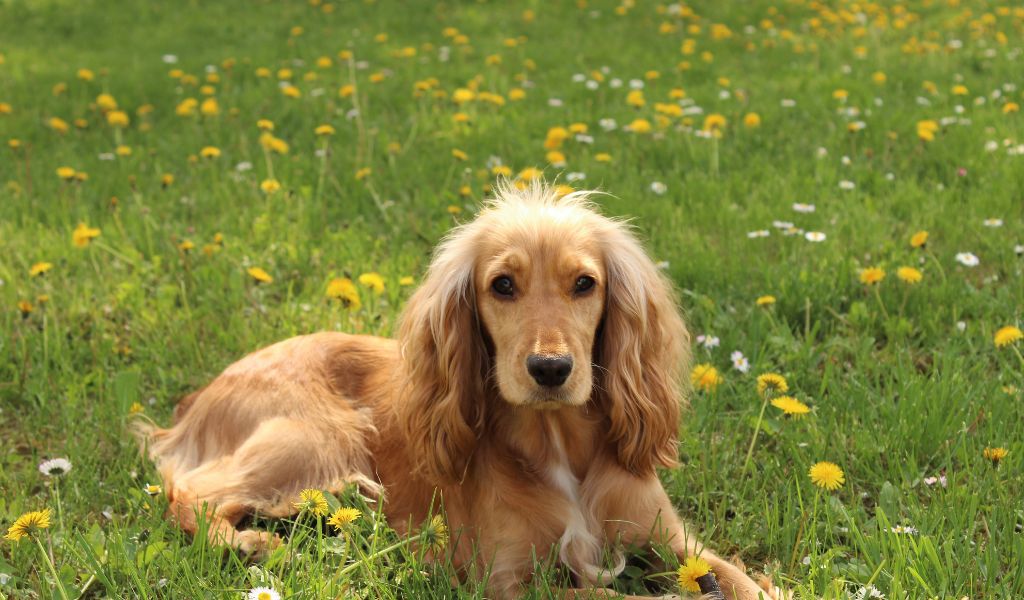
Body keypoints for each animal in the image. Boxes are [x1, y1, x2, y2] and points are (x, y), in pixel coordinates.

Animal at [140, 183, 782, 597]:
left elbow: (746, 584)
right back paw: (253, 543)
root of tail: (198, 400)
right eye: (502, 285)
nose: (550, 368)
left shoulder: (676, 542)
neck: (558, 445)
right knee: (190, 492)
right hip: (317, 435)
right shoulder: (505, 581)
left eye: (585, 283)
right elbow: (603, 594)